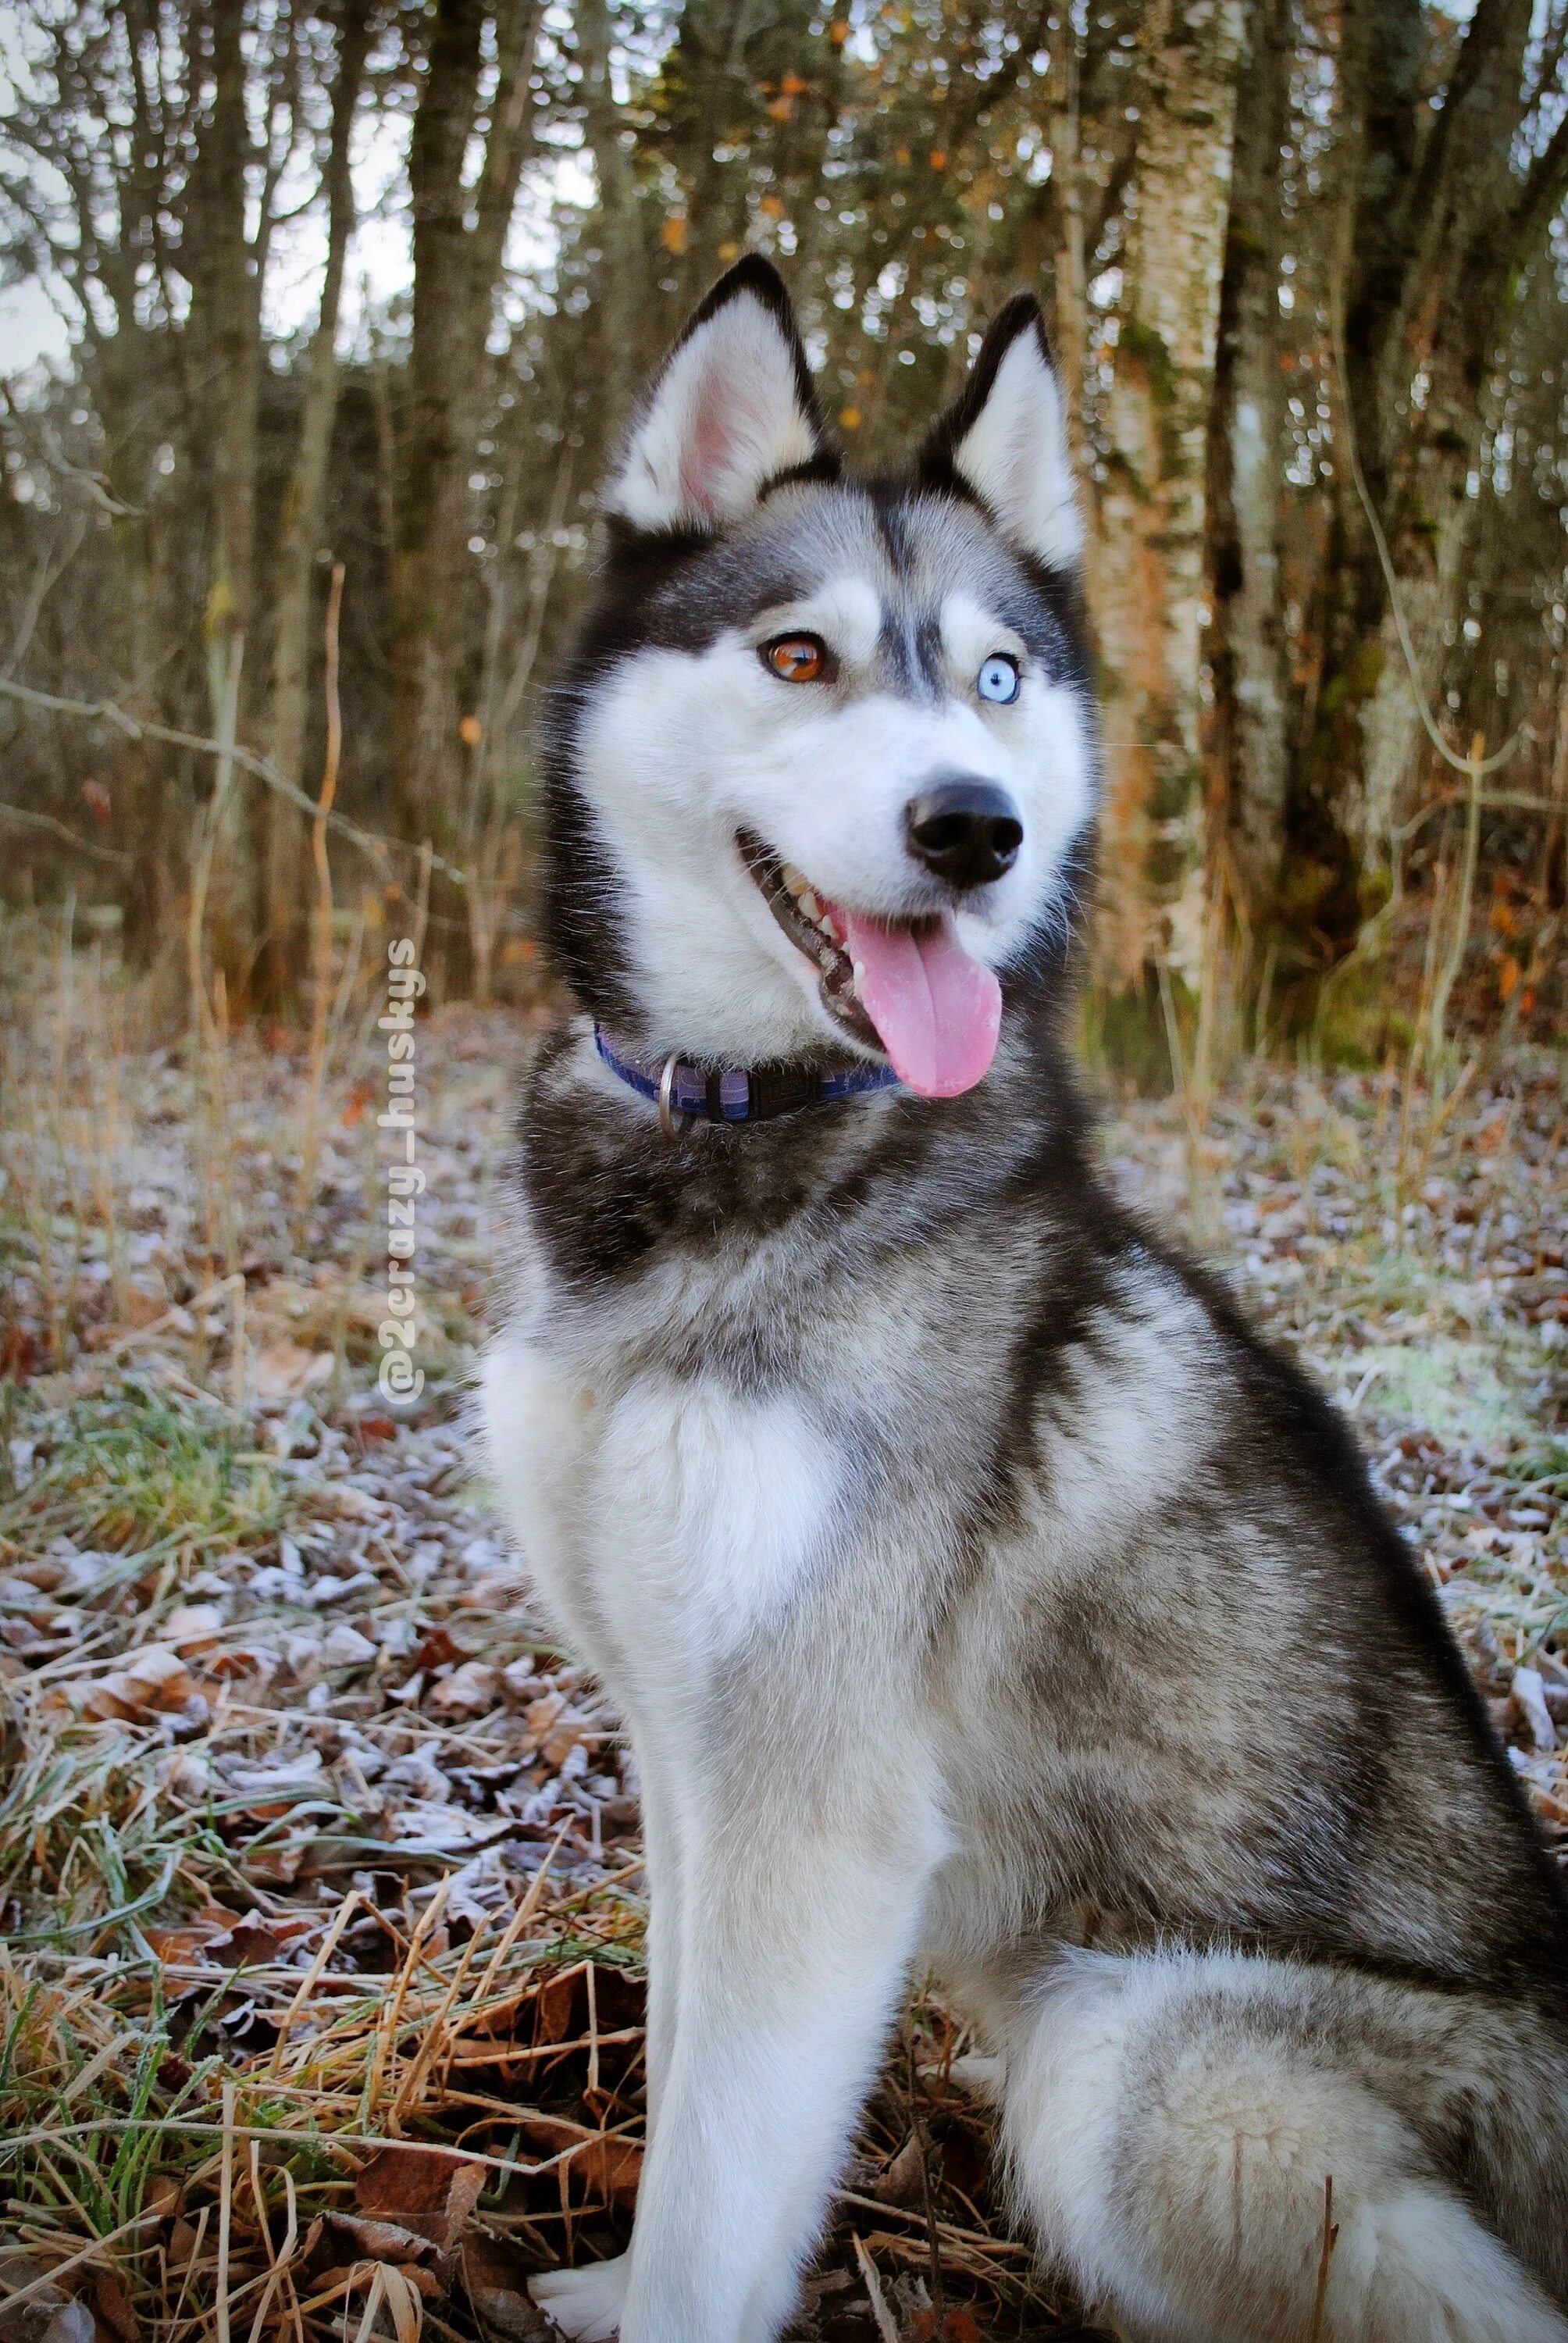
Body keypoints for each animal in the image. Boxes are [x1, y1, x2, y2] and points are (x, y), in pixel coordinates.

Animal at [483, 256, 1565, 2343]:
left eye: (993, 678)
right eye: (798, 657)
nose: (970, 824)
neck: (744, 1150)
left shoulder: (810, 1809)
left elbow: (722, 2195)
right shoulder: (685, 1747)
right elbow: (681, 2091)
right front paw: (609, 2274)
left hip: (1145, 2065)